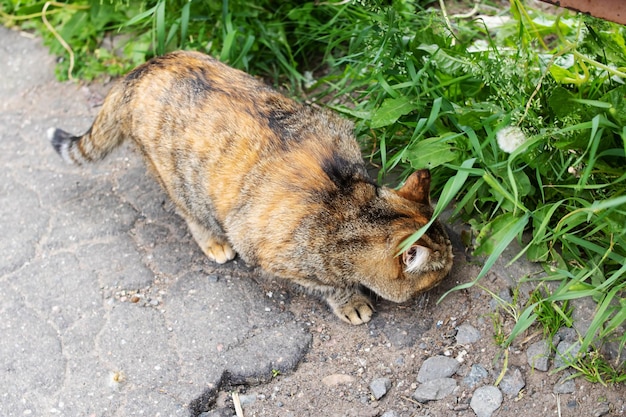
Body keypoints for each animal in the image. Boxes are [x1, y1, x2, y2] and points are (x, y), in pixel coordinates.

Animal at [47, 50, 448, 324]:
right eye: (440, 271)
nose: (453, 271)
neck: (349, 202)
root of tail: (141, 69)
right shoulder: (272, 256)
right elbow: (327, 285)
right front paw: (349, 300)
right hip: (180, 182)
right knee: (188, 212)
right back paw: (213, 241)